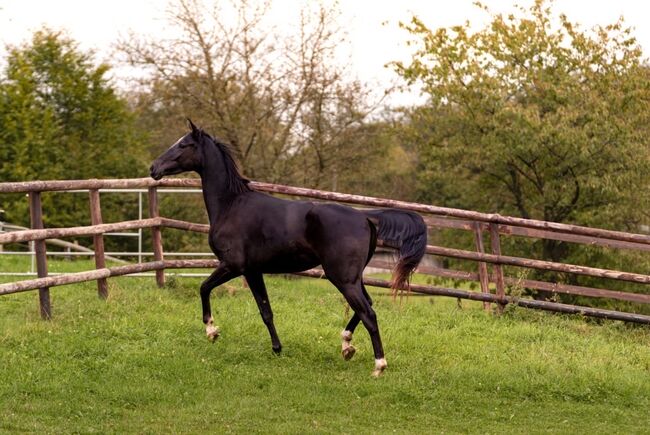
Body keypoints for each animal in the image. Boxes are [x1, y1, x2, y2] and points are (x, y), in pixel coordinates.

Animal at [149, 120, 427, 376]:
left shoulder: (233, 266)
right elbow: (266, 311)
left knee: (368, 312)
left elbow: (204, 287)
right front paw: (277, 349)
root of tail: (365, 217)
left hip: (342, 278)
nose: (153, 168)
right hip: (353, 277)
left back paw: (378, 365)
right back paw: (347, 345)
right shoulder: (253, 271)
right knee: (367, 305)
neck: (231, 205)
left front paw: (212, 331)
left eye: (183, 144)